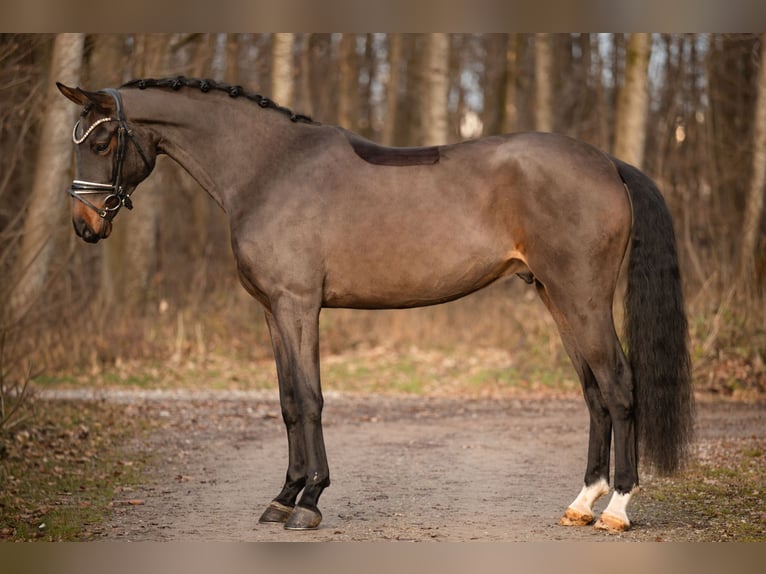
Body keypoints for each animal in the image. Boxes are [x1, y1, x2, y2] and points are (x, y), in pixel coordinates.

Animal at [56, 76, 693, 532]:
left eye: (104, 140)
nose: (85, 225)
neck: (269, 167)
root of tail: (607, 163)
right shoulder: (272, 312)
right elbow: (287, 402)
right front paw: (283, 496)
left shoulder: (298, 306)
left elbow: (309, 399)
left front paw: (309, 501)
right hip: (557, 299)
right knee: (593, 394)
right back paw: (583, 502)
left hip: (581, 298)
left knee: (619, 386)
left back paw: (617, 510)